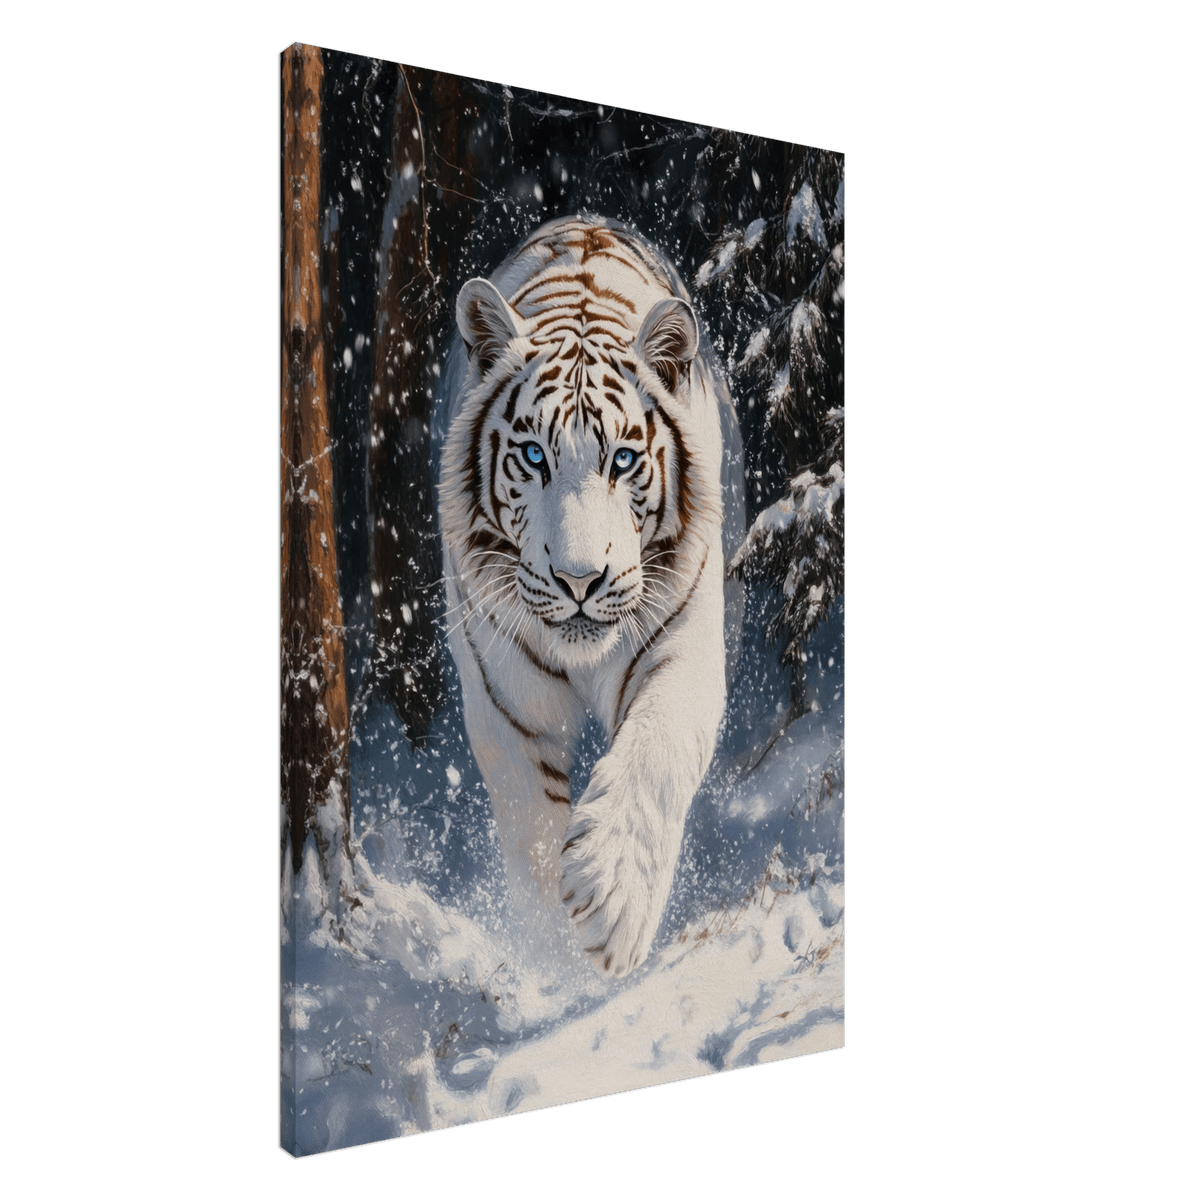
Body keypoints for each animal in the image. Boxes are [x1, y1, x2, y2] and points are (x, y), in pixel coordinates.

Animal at [438, 215, 742, 977]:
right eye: (534, 457)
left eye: (624, 460)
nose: (580, 581)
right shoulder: (505, 697)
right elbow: (529, 824)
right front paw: (555, 956)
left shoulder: (683, 648)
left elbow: (657, 753)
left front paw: (610, 902)